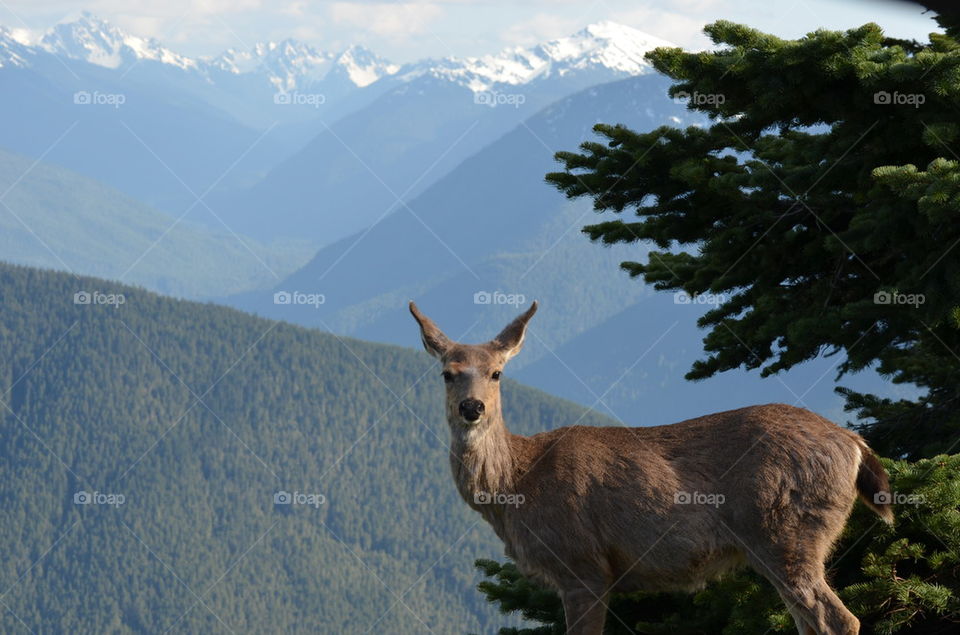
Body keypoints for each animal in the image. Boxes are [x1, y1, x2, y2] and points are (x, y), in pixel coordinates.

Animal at [409, 300, 895, 635]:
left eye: (496, 373)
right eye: (447, 373)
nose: (472, 408)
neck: (517, 485)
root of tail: (854, 444)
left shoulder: (583, 564)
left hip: (786, 530)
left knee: (838, 619)